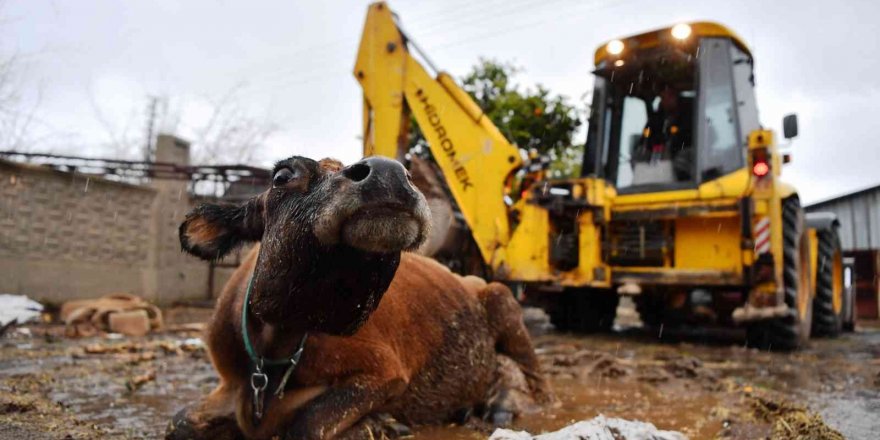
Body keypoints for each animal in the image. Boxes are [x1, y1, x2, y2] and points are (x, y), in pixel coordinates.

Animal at [167, 156, 552, 438]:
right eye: (282, 176)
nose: (390, 172)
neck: (274, 349)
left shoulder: (386, 371)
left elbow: (308, 424)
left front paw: (379, 423)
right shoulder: (228, 385)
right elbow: (179, 421)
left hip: (502, 300)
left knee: (536, 382)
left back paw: (504, 404)